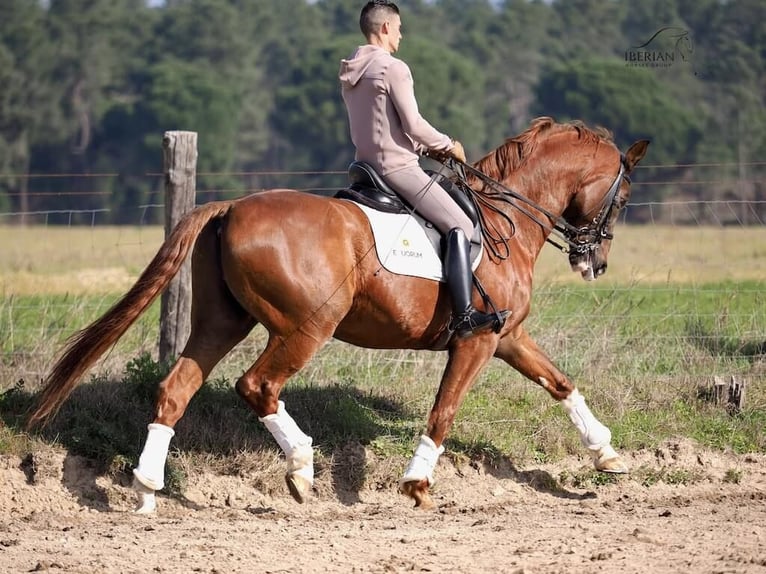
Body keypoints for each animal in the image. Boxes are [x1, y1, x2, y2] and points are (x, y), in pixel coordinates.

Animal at [28, 117, 649, 513]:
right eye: (620, 199)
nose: (596, 261)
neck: (507, 219)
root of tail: (230, 207)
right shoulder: (476, 341)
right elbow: (444, 411)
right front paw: (417, 484)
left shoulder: (508, 335)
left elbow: (561, 382)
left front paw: (608, 455)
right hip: (306, 327)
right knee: (257, 385)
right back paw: (302, 467)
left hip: (220, 323)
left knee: (175, 388)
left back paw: (146, 488)